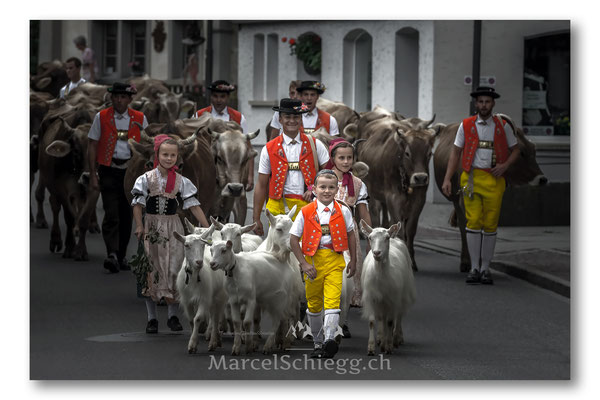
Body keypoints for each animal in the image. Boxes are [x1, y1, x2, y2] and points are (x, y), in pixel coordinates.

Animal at [356, 112, 440, 272]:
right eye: (407, 153)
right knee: (375, 215)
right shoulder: (393, 198)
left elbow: (410, 230)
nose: (420, 177)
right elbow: (399, 230)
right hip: (372, 193)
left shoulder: (419, 199)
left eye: (429, 153)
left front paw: (411, 261)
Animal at [358, 220, 414, 354]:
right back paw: (381, 338)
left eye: (386, 238)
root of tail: (396, 238)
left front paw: (388, 346)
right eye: (370, 237)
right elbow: (373, 321)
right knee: (382, 318)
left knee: (398, 315)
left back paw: (397, 338)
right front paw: (372, 347)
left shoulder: (393, 298)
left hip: (404, 292)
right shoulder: (371, 297)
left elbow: (390, 321)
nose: (377, 253)